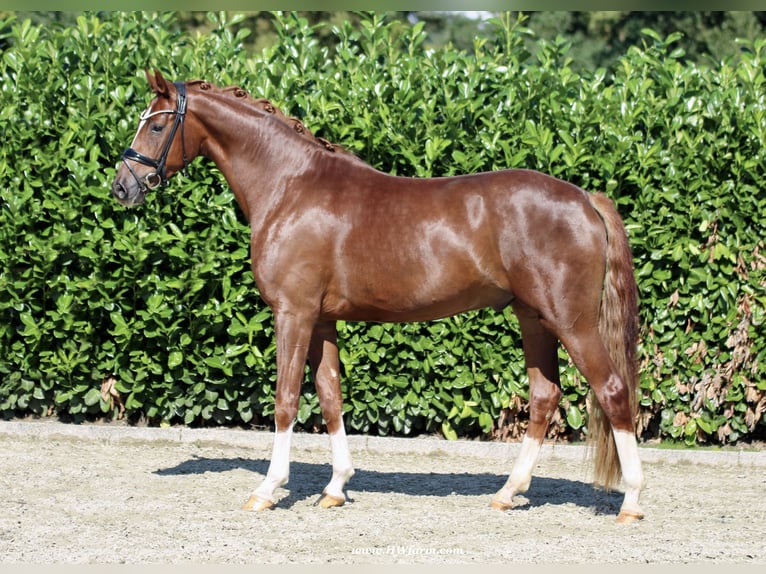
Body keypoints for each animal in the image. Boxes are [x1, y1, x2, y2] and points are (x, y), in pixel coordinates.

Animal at [111, 70, 644, 524]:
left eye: (156, 124)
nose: (122, 187)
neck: (289, 186)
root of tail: (585, 198)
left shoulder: (293, 314)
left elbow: (286, 399)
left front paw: (267, 489)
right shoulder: (321, 321)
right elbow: (330, 396)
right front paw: (335, 488)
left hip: (572, 322)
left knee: (613, 391)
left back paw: (632, 502)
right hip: (533, 319)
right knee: (544, 396)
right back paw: (508, 492)